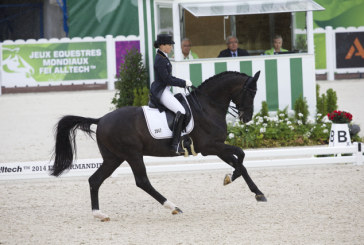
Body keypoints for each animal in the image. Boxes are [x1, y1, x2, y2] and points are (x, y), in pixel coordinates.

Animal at [50, 70, 264, 220]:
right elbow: (241, 155)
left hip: (114, 157)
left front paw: (249, 188)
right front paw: (243, 184)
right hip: (132, 155)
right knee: (142, 181)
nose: (246, 118)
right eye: (250, 92)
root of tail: (101, 120)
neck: (207, 106)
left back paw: (99, 214)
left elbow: (239, 163)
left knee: (95, 180)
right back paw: (173, 206)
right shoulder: (210, 146)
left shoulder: (217, 146)